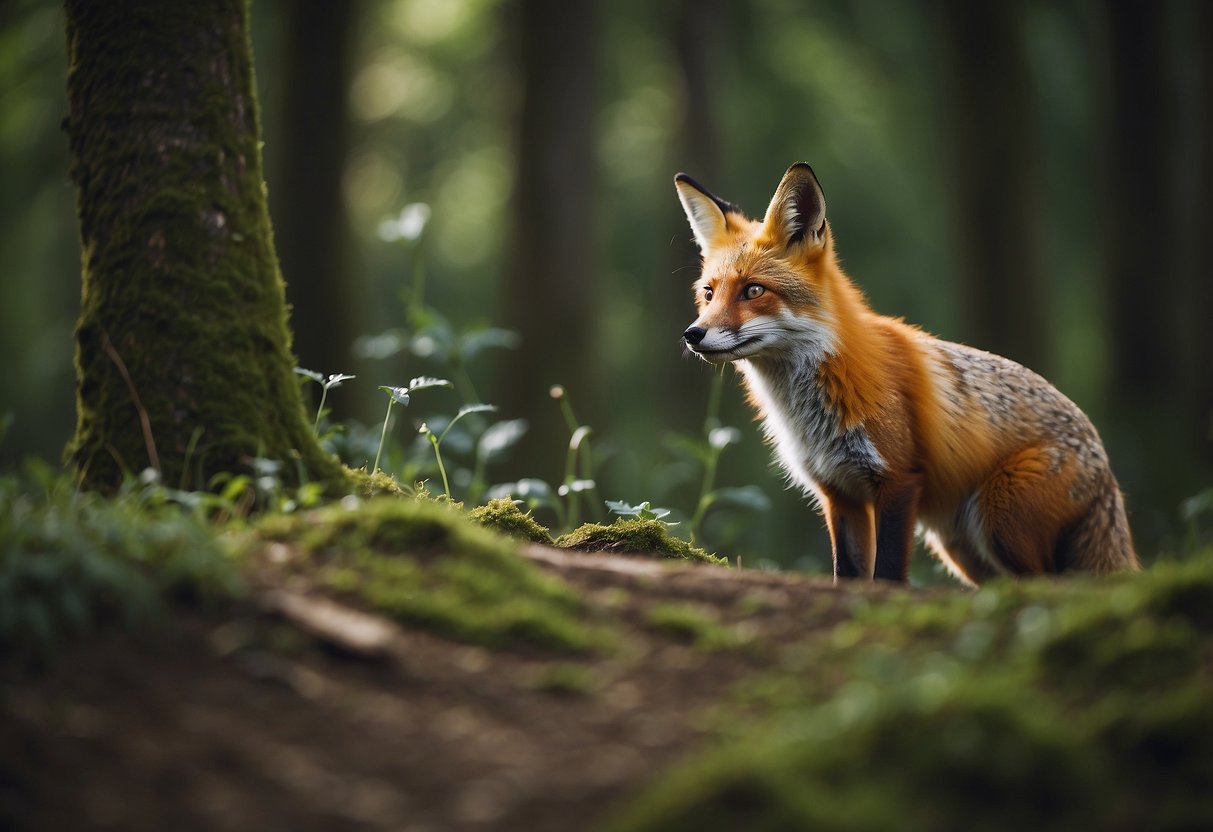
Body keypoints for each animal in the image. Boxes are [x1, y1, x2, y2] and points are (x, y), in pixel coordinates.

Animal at [674, 162, 1135, 587]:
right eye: (709, 293)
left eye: (753, 290)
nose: (692, 334)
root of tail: (1106, 465)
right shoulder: (840, 493)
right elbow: (848, 573)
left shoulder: (897, 481)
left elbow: (888, 574)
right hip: (965, 551)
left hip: (1000, 525)